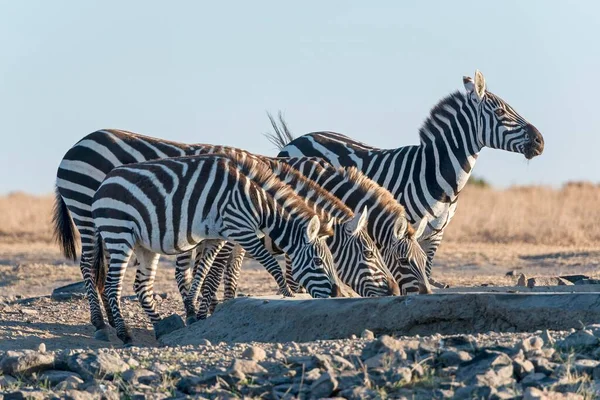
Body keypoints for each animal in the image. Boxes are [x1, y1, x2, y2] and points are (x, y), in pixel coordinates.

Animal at [89, 152, 342, 344]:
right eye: (318, 262)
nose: (337, 295)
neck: (258, 202)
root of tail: (104, 183)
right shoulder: (241, 230)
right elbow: (271, 264)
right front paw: (288, 293)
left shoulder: (216, 237)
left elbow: (203, 274)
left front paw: (194, 313)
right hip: (118, 233)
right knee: (112, 285)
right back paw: (124, 334)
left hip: (144, 245)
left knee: (141, 285)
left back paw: (162, 327)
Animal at [270, 70, 548, 286]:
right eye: (501, 112)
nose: (540, 141)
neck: (435, 172)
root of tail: (296, 140)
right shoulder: (403, 227)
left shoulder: (436, 233)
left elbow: (425, 267)